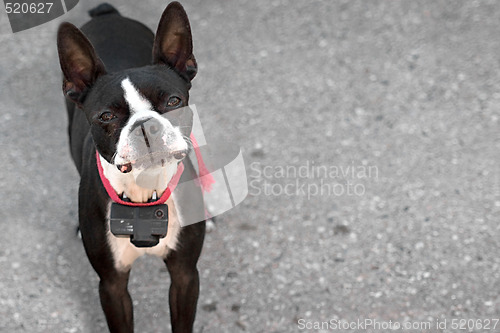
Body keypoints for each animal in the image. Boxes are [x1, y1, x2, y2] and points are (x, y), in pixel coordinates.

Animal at [58, 1, 205, 330]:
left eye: (173, 101)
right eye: (106, 116)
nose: (146, 125)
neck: (144, 192)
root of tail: (108, 14)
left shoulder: (185, 276)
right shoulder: (112, 285)